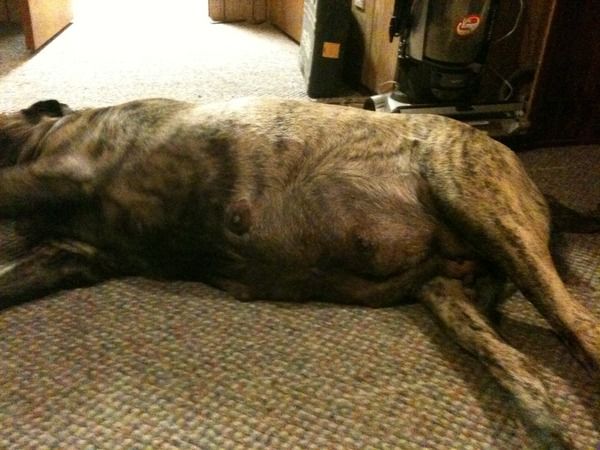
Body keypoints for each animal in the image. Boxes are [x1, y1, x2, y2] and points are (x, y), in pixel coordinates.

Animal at [1, 97, 598, 449]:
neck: (45, 134)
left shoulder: (57, 176)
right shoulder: (73, 254)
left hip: (479, 204)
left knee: (579, 325)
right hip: (450, 298)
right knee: (523, 370)